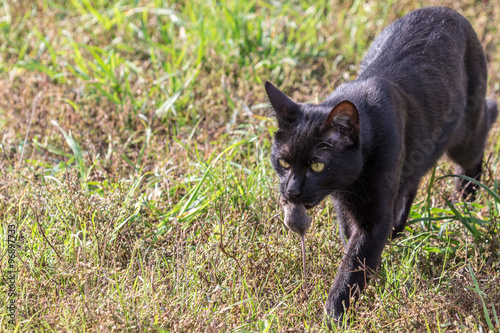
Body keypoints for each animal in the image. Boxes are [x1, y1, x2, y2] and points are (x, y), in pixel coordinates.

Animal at [266, 6, 496, 322]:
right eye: (283, 162)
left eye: (317, 166)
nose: (292, 191)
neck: (351, 183)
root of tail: (446, 10)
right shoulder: (345, 206)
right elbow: (351, 243)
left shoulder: (373, 216)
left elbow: (355, 261)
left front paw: (334, 315)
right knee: (411, 179)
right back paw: (399, 228)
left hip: (465, 134)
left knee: (476, 146)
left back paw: (464, 200)